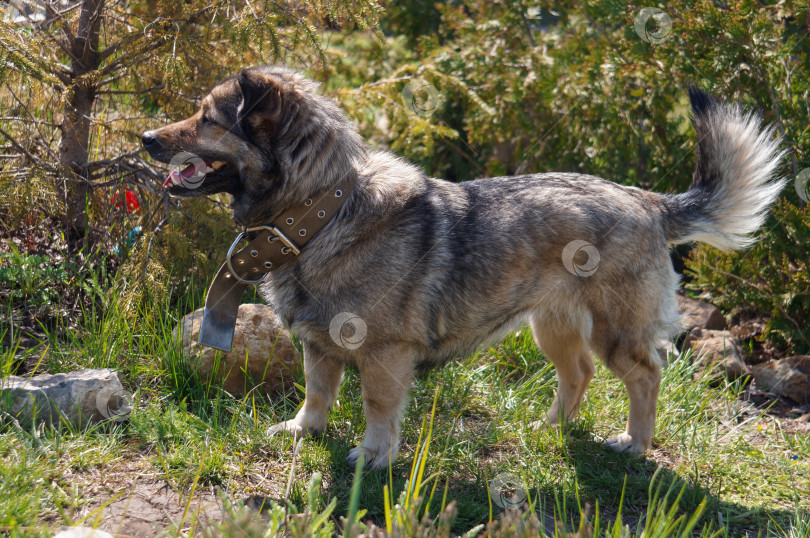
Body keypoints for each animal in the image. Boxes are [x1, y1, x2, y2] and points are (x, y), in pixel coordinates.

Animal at [144, 67, 784, 466]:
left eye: (208, 119)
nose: (146, 136)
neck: (321, 211)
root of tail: (648, 201)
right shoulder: (319, 345)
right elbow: (318, 392)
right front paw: (305, 431)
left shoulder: (383, 356)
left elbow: (377, 406)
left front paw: (374, 456)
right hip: (552, 327)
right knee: (578, 374)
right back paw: (551, 428)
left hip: (615, 331)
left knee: (646, 376)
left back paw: (634, 443)